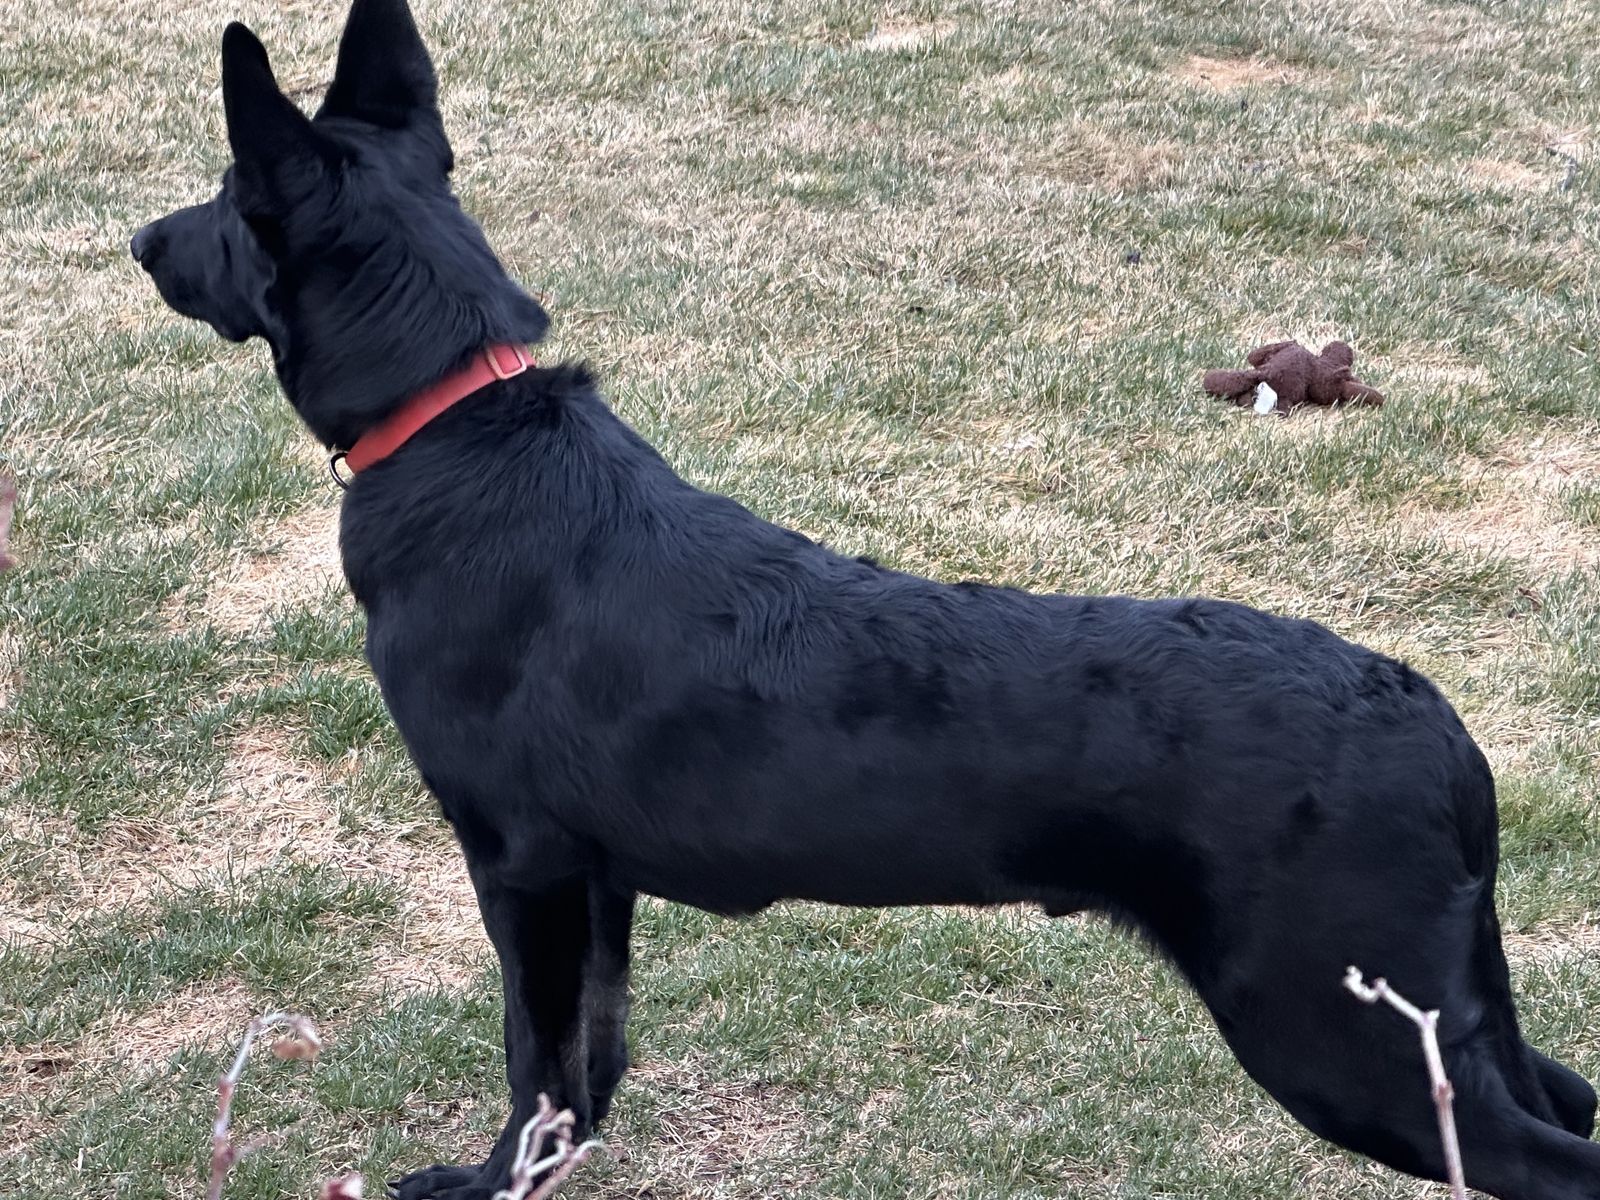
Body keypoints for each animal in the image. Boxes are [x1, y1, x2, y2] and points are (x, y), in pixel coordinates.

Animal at [131, 2, 1600, 1196]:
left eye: (226, 196)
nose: (142, 239)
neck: (453, 422)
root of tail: (1436, 726)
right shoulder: (594, 885)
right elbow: (592, 1056)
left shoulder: (522, 864)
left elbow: (532, 1057)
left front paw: (488, 1181)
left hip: (1332, 1028)